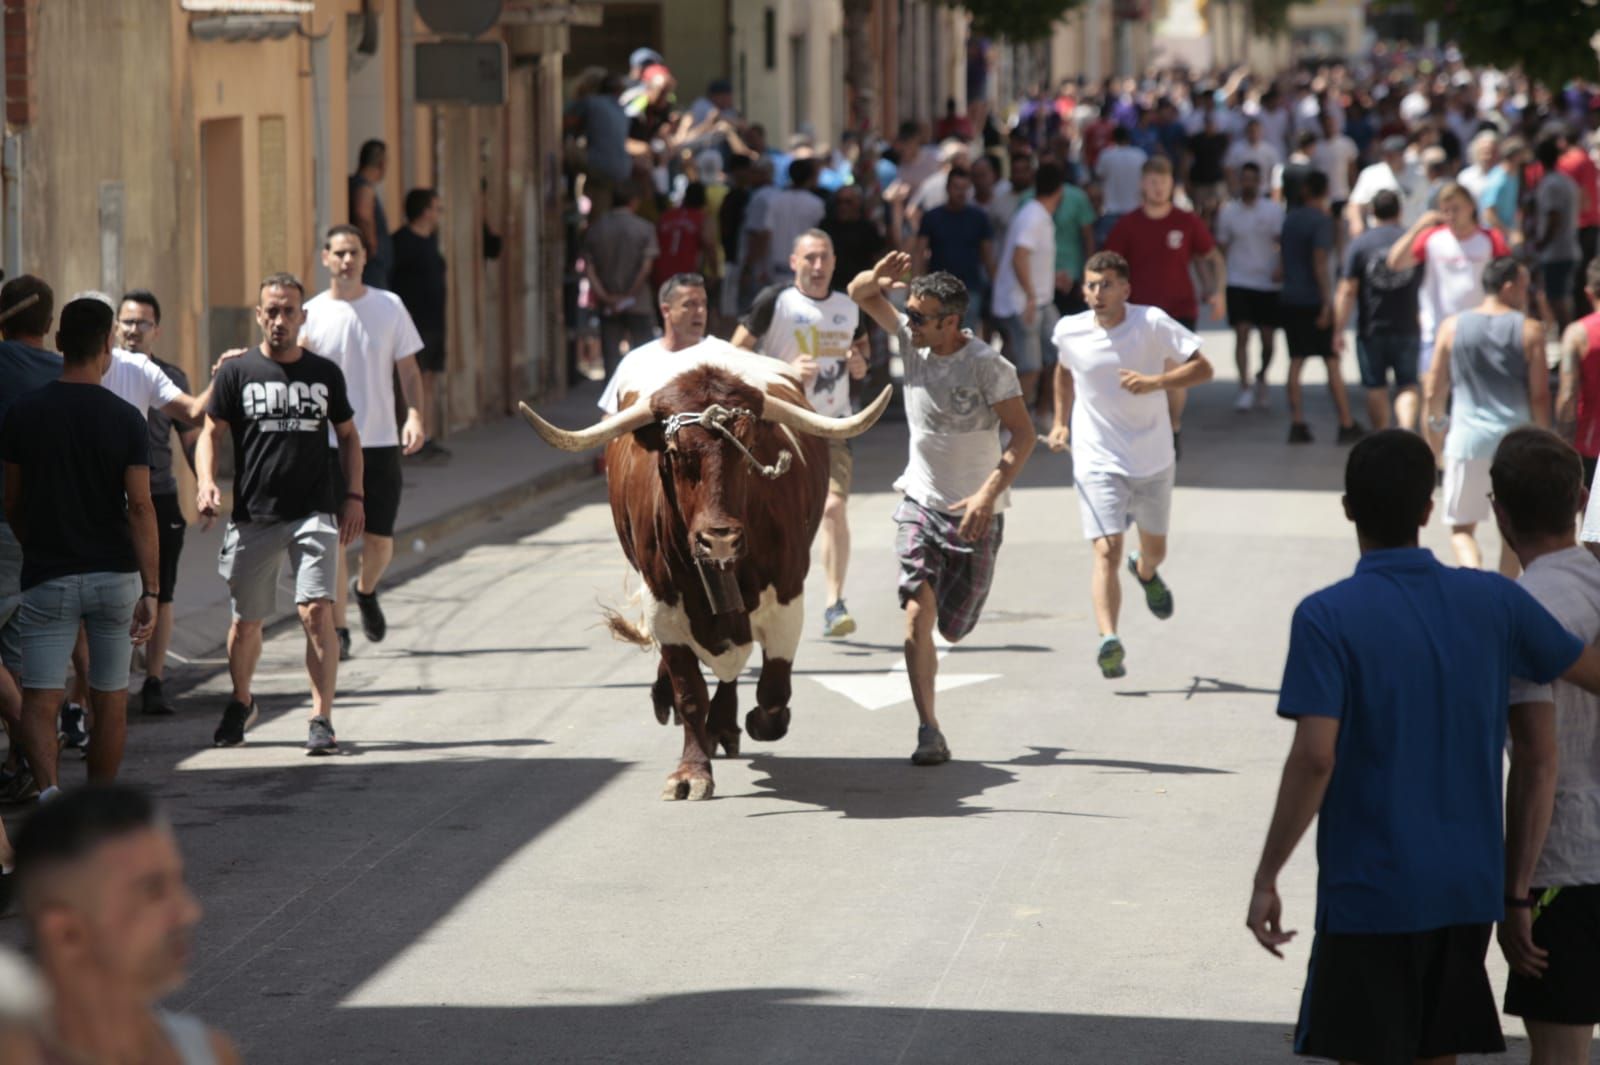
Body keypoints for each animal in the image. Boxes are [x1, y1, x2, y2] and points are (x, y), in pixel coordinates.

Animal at [521, 348, 889, 796]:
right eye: (676, 453)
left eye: (748, 449)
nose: (720, 538)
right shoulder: (662, 605)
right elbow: (690, 694)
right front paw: (690, 771)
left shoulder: (787, 597)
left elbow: (772, 690)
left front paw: (758, 722)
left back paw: (726, 725)